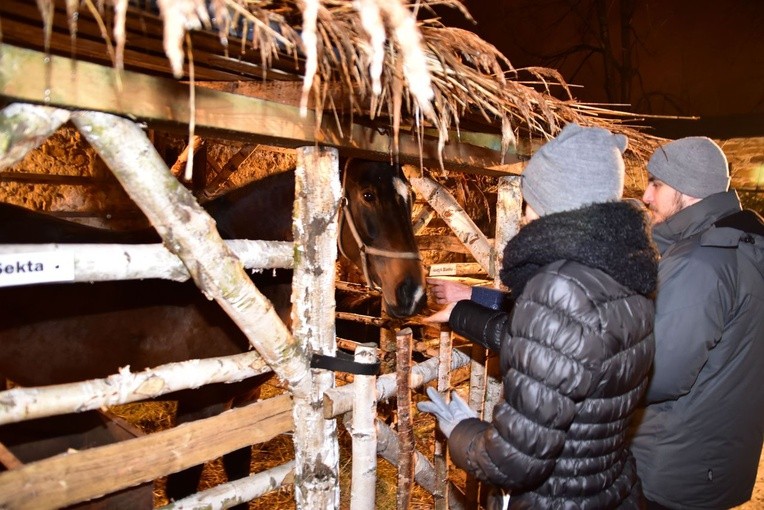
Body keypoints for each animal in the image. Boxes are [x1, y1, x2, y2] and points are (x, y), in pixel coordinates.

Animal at [0, 157, 424, 508]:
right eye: (367, 195)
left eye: (410, 198)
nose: (413, 293)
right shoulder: (199, 408)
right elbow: (184, 489)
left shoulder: (243, 401)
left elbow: (238, 476)